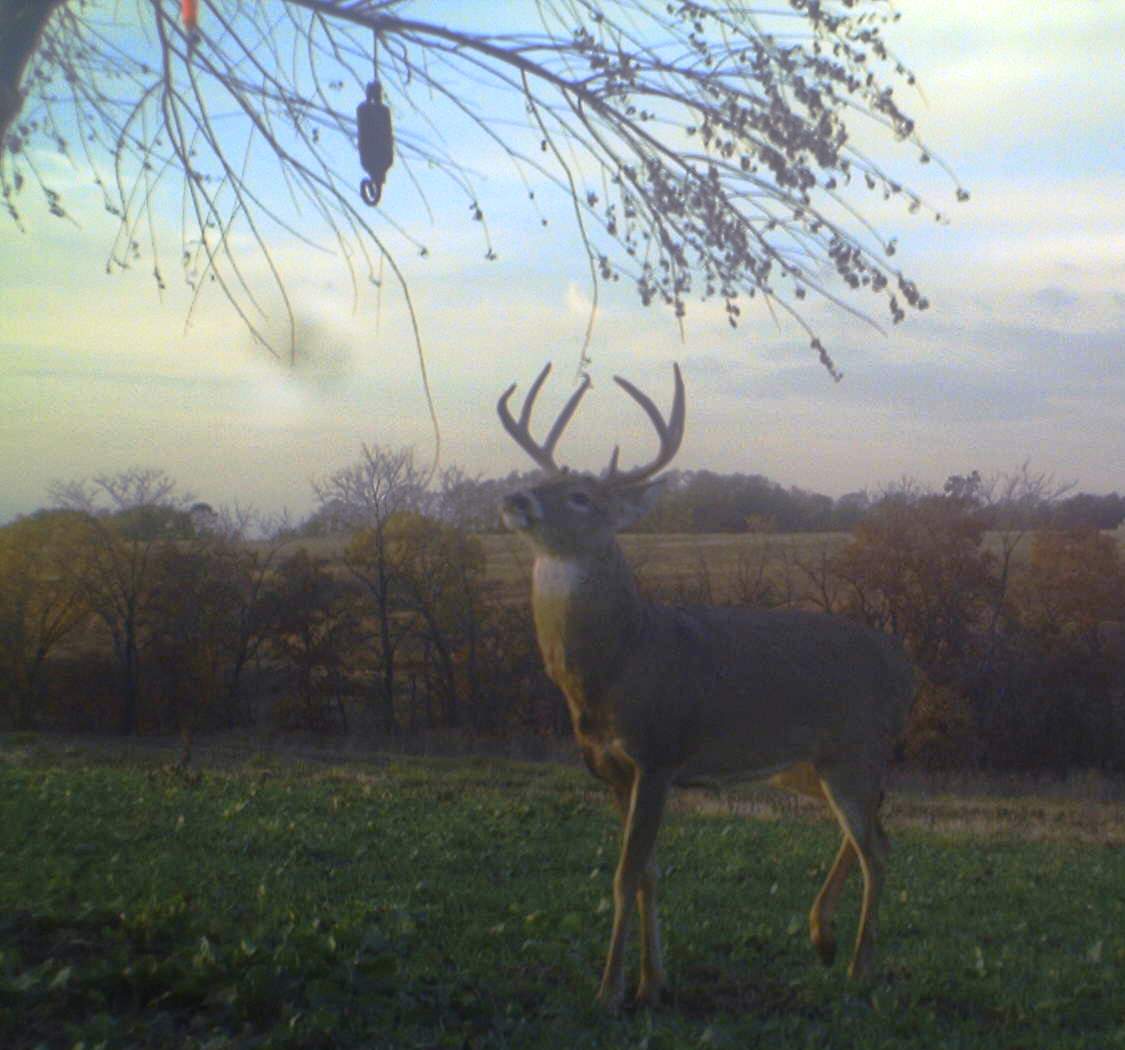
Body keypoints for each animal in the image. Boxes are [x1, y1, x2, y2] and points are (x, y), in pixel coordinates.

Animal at [497, 362, 917, 1011]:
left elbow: (624, 875)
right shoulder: (611, 769)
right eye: (540, 479)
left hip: (857, 748)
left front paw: (609, 990)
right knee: (877, 830)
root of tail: (905, 664)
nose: (514, 500)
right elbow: (648, 874)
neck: (617, 662)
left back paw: (857, 965)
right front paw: (652, 982)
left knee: (877, 848)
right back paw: (821, 937)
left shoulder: (658, 753)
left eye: (582, 496)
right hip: (809, 764)